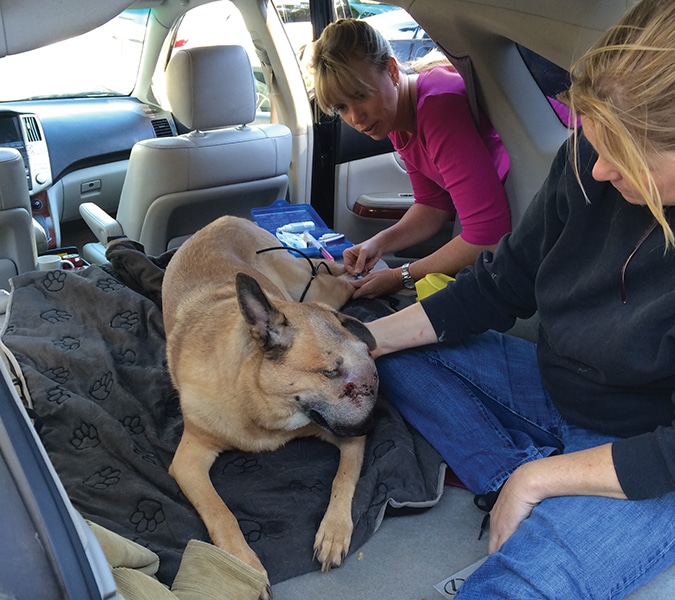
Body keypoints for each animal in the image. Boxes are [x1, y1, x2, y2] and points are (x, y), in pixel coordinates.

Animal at [161, 214, 378, 596]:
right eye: (330, 371)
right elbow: (221, 512)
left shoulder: (342, 439)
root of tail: (226, 218)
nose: (373, 425)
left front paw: (334, 530)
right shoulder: (189, 461)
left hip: (319, 290)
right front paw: (242, 566)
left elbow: (343, 478)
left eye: (366, 364)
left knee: (339, 277)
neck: (258, 403)